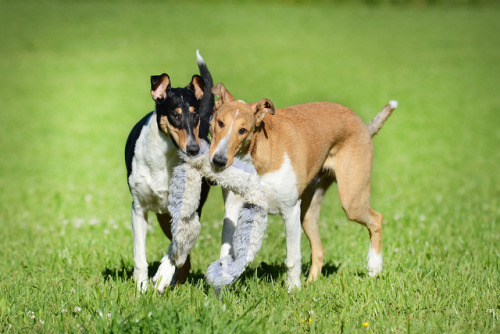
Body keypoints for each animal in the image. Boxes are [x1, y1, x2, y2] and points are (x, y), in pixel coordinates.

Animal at [126, 50, 214, 292]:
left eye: (195, 115)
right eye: (175, 115)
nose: (194, 149)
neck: (163, 160)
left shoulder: (187, 210)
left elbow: (177, 245)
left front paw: (162, 276)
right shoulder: (138, 209)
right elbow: (139, 255)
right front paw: (141, 287)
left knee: (184, 254)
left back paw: (171, 281)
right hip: (162, 217)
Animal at [209, 82, 396, 288]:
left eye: (243, 130)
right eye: (220, 122)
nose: (218, 161)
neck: (257, 157)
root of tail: (362, 124)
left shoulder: (290, 210)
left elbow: (292, 258)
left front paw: (292, 289)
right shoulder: (232, 208)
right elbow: (224, 253)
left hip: (351, 200)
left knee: (376, 219)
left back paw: (374, 268)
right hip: (308, 213)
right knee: (319, 251)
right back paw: (311, 283)